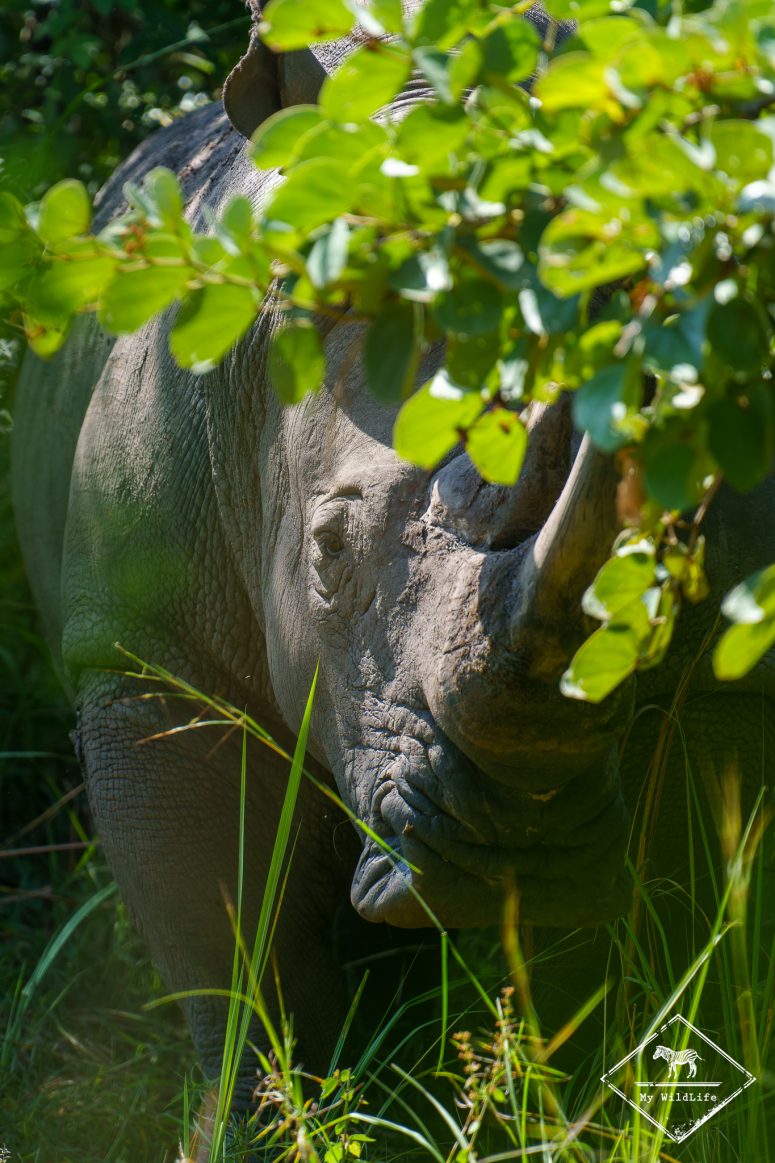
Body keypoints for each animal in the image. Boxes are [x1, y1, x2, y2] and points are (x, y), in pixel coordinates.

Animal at [12, 0, 775, 1106]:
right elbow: (231, 953)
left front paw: (565, 1102)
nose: (514, 846)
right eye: (328, 551)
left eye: (675, 556)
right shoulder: (139, 652)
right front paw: (269, 1115)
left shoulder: (717, 673)